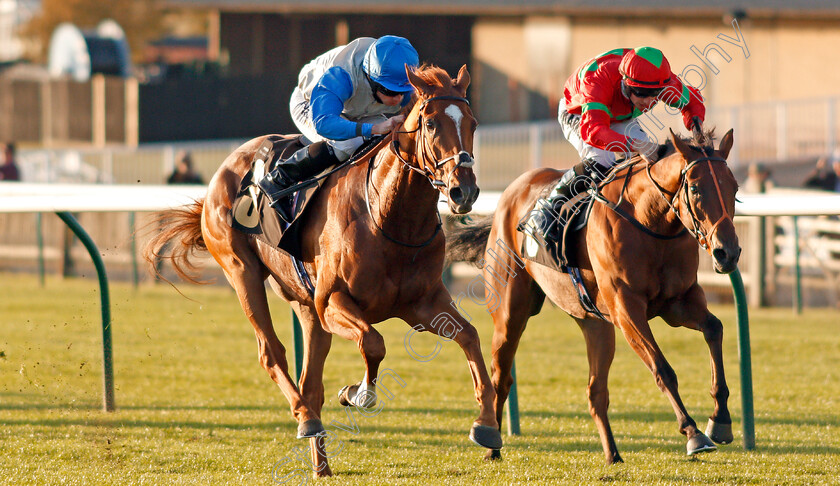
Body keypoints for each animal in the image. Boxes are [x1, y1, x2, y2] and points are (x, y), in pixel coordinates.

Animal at [144, 62, 502, 476]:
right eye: (430, 124)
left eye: (473, 123)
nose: (464, 192)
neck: (391, 216)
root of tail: (224, 170)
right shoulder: (333, 301)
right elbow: (374, 343)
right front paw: (358, 394)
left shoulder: (422, 304)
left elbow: (470, 337)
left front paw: (487, 427)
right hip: (242, 271)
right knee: (272, 354)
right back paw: (305, 418)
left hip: (305, 306)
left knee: (310, 381)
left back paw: (321, 462)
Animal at [442, 127, 740, 462]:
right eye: (696, 189)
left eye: (734, 188)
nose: (727, 252)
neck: (650, 223)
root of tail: (509, 195)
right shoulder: (627, 309)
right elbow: (662, 368)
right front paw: (693, 433)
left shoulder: (679, 302)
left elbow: (714, 328)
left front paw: (720, 421)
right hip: (510, 312)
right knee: (501, 377)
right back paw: (489, 439)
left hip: (594, 322)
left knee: (595, 392)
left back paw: (613, 455)